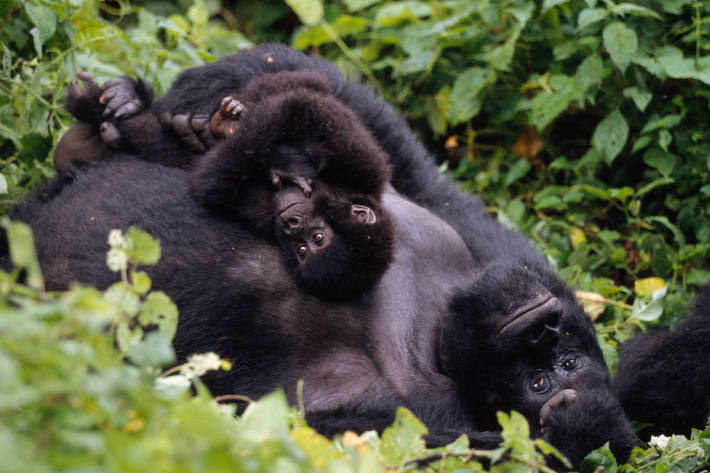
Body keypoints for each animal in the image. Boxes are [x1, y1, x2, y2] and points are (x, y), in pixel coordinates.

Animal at [57, 70, 394, 298]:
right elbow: (308, 97)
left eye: (307, 245)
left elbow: (212, 182)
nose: (291, 223)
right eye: (317, 237)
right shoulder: (364, 167)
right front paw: (283, 159)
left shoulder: (265, 215)